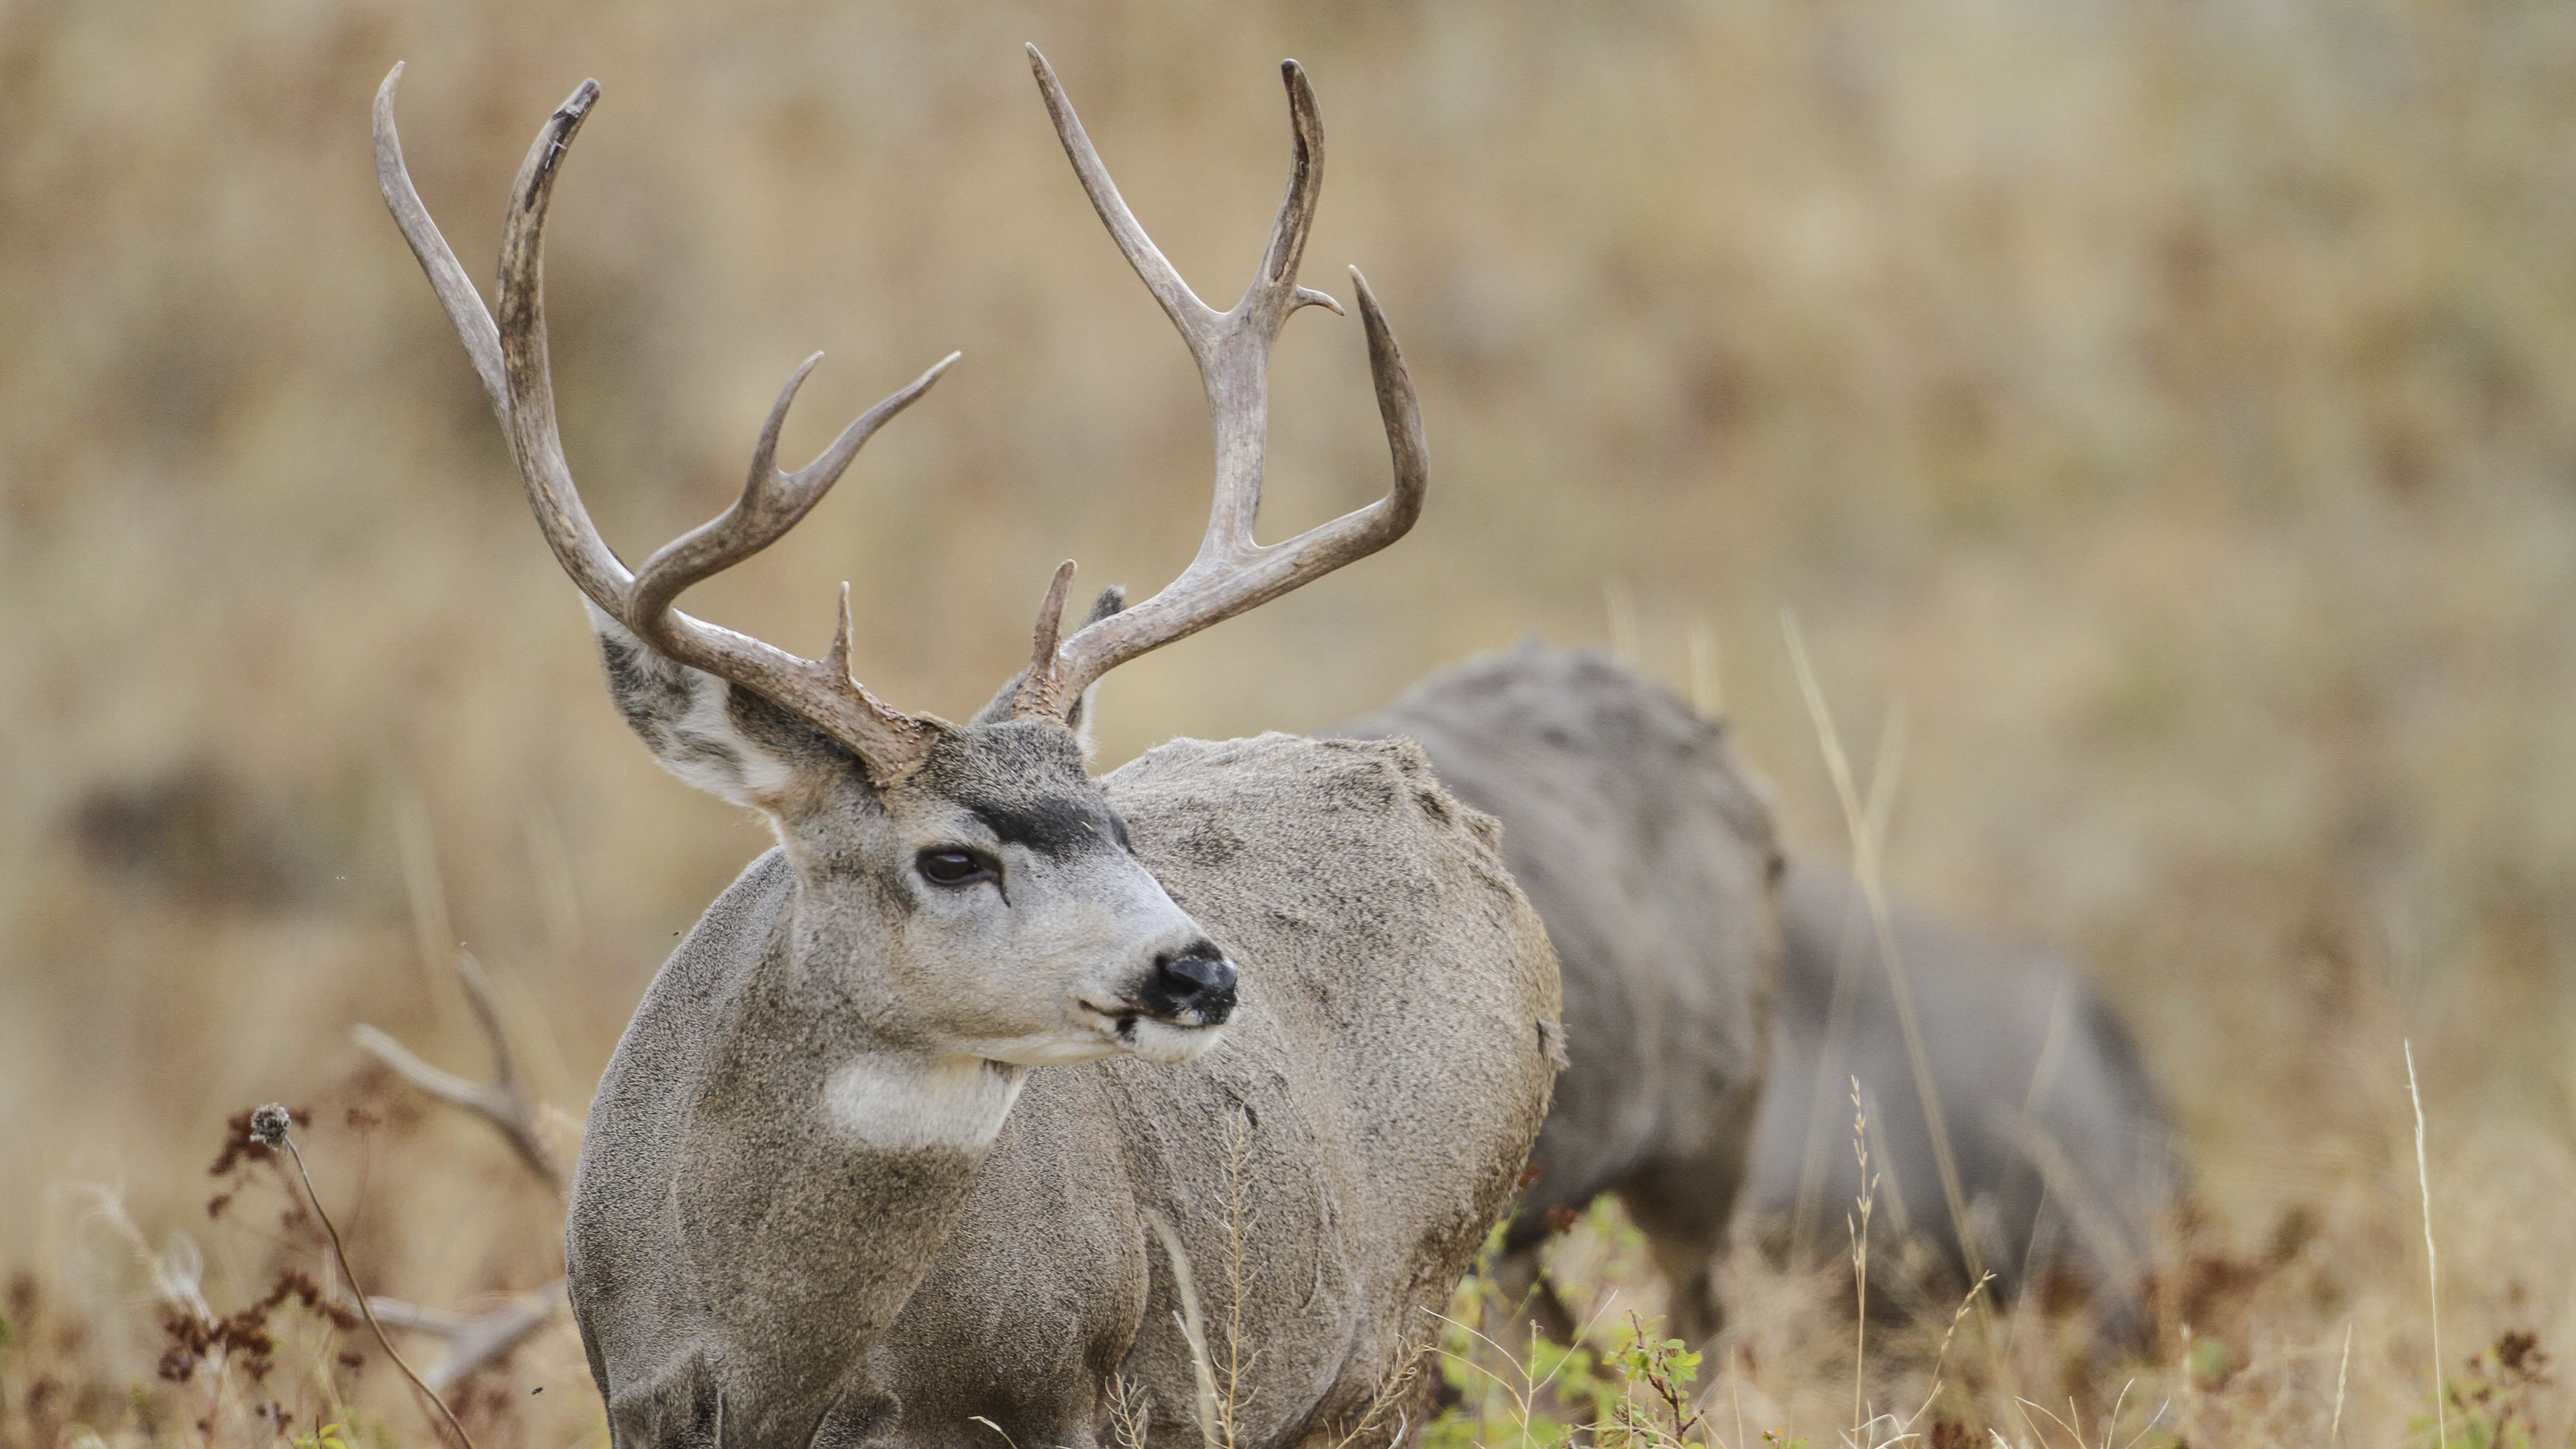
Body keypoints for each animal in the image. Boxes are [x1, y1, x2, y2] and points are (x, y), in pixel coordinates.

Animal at [374, 48, 1564, 1449]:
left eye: (1116, 823)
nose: (1199, 971)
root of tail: (1449, 810)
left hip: (1405, 1315)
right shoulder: (633, 1391)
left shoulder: (1067, 1396)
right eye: (950, 860)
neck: (776, 1365)